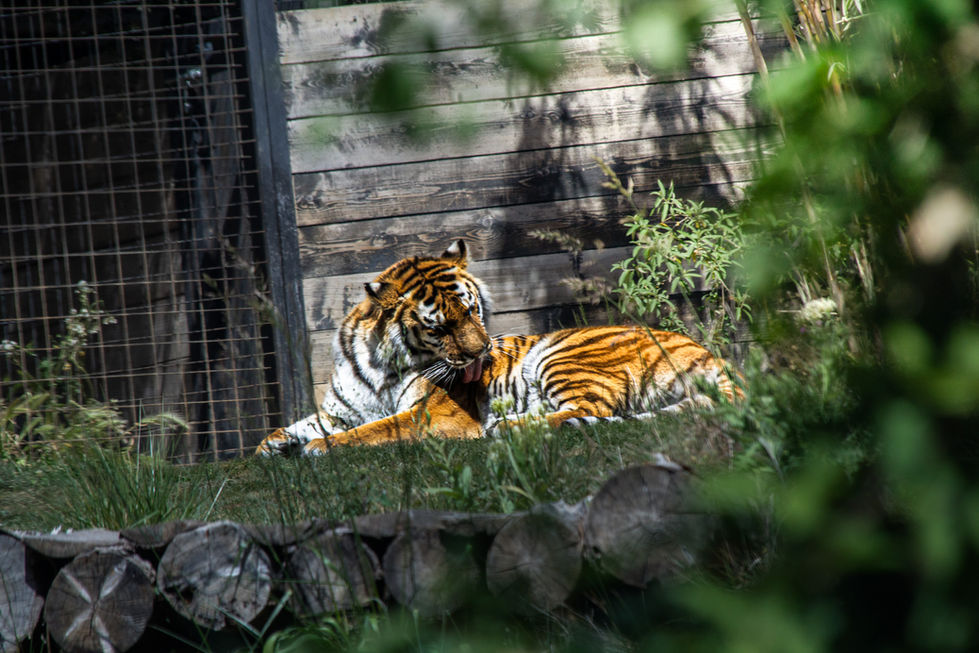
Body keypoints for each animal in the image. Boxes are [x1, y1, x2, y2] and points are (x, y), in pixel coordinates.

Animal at [257, 240, 740, 456]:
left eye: (473, 311)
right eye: (441, 327)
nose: (482, 353)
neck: (380, 364)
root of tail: (710, 355)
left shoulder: (430, 414)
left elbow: (375, 430)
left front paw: (321, 448)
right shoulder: (341, 410)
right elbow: (300, 425)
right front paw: (272, 447)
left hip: (561, 356)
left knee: (591, 409)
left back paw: (507, 428)